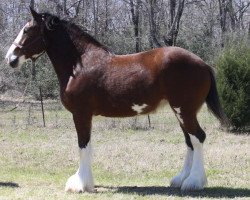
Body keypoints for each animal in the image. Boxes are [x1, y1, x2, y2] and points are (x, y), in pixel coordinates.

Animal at [4, 7, 228, 192]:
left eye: (27, 30)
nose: (10, 59)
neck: (80, 64)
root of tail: (203, 64)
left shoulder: (81, 114)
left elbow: (83, 146)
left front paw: (80, 185)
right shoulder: (85, 115)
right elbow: (87, 146)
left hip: (185, 110)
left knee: (198, 138)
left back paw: (194, 182)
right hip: (180, 111)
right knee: (189, 141)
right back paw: (181, 179)